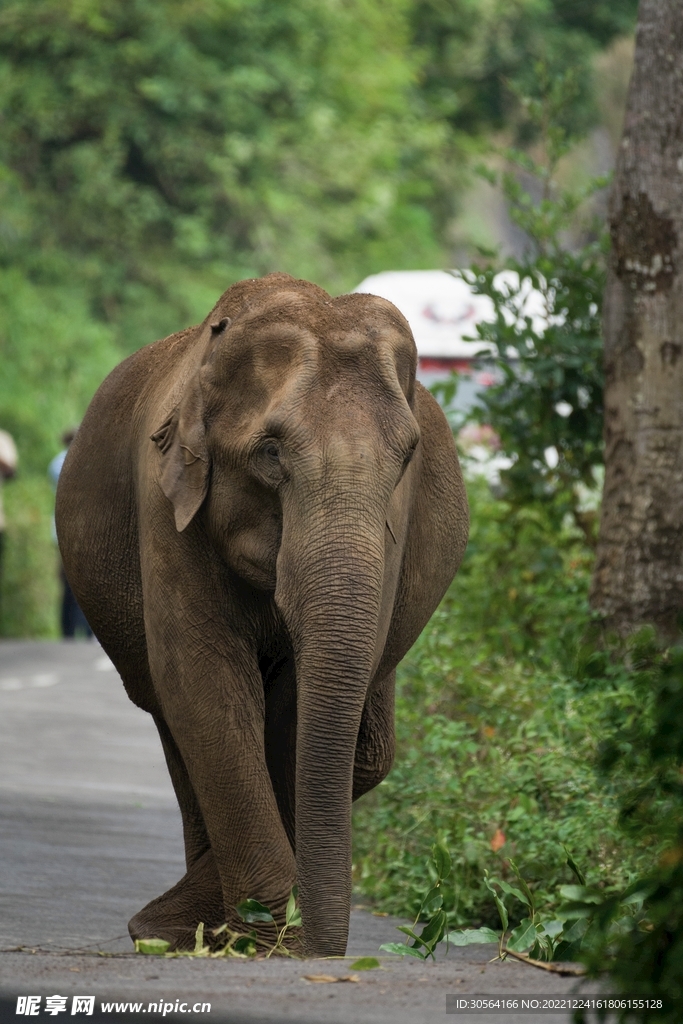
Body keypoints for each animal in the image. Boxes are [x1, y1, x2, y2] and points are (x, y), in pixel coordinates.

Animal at [56, 272, 468, 958]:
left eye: (408, 456)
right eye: (271, 453)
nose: (324, 952)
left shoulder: (397, 527)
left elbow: (296, 708)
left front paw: (249, 934)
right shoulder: (165, 504)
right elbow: (205, 681)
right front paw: (258, 935)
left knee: (369, 748)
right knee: (173, 714)